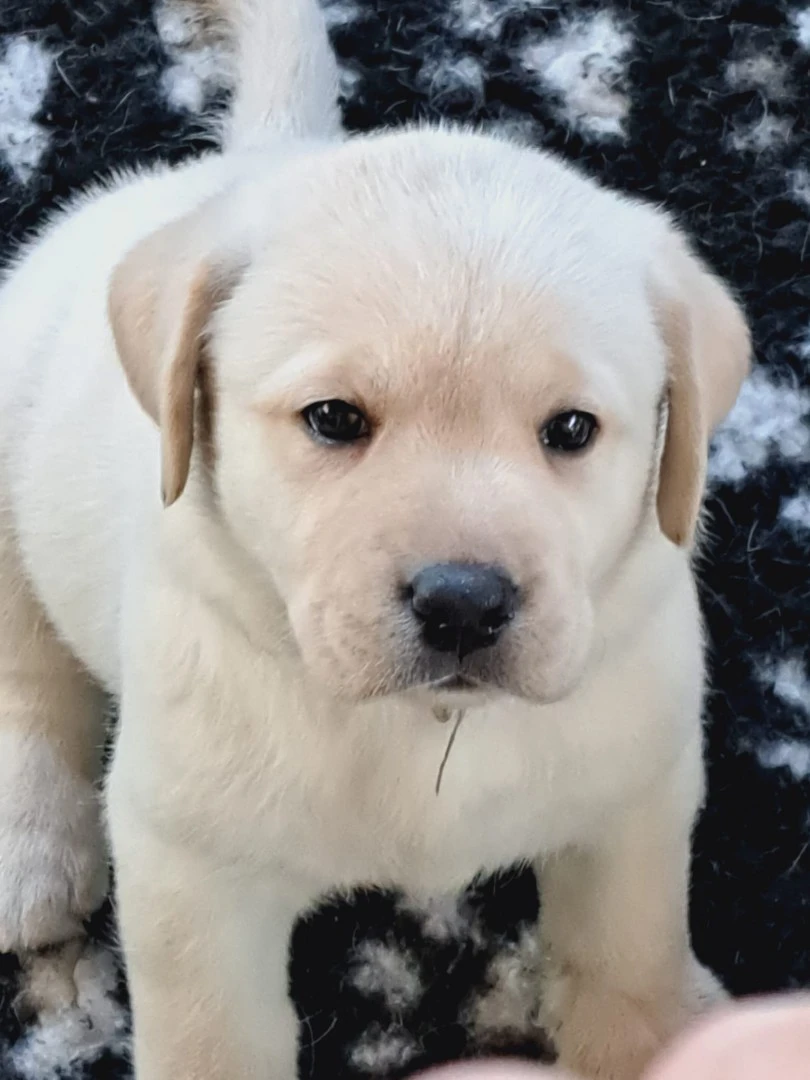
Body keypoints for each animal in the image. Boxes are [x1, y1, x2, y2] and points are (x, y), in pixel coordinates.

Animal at [0, 2, 751, 1080]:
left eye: (572, 430)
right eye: (334, 419)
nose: (464, 602)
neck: (419, 730)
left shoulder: (635, 794)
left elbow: (626, 949)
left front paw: (655, 1030)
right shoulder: (192, 864)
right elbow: (214, 1037)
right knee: (27, 656)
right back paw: (32, 845)